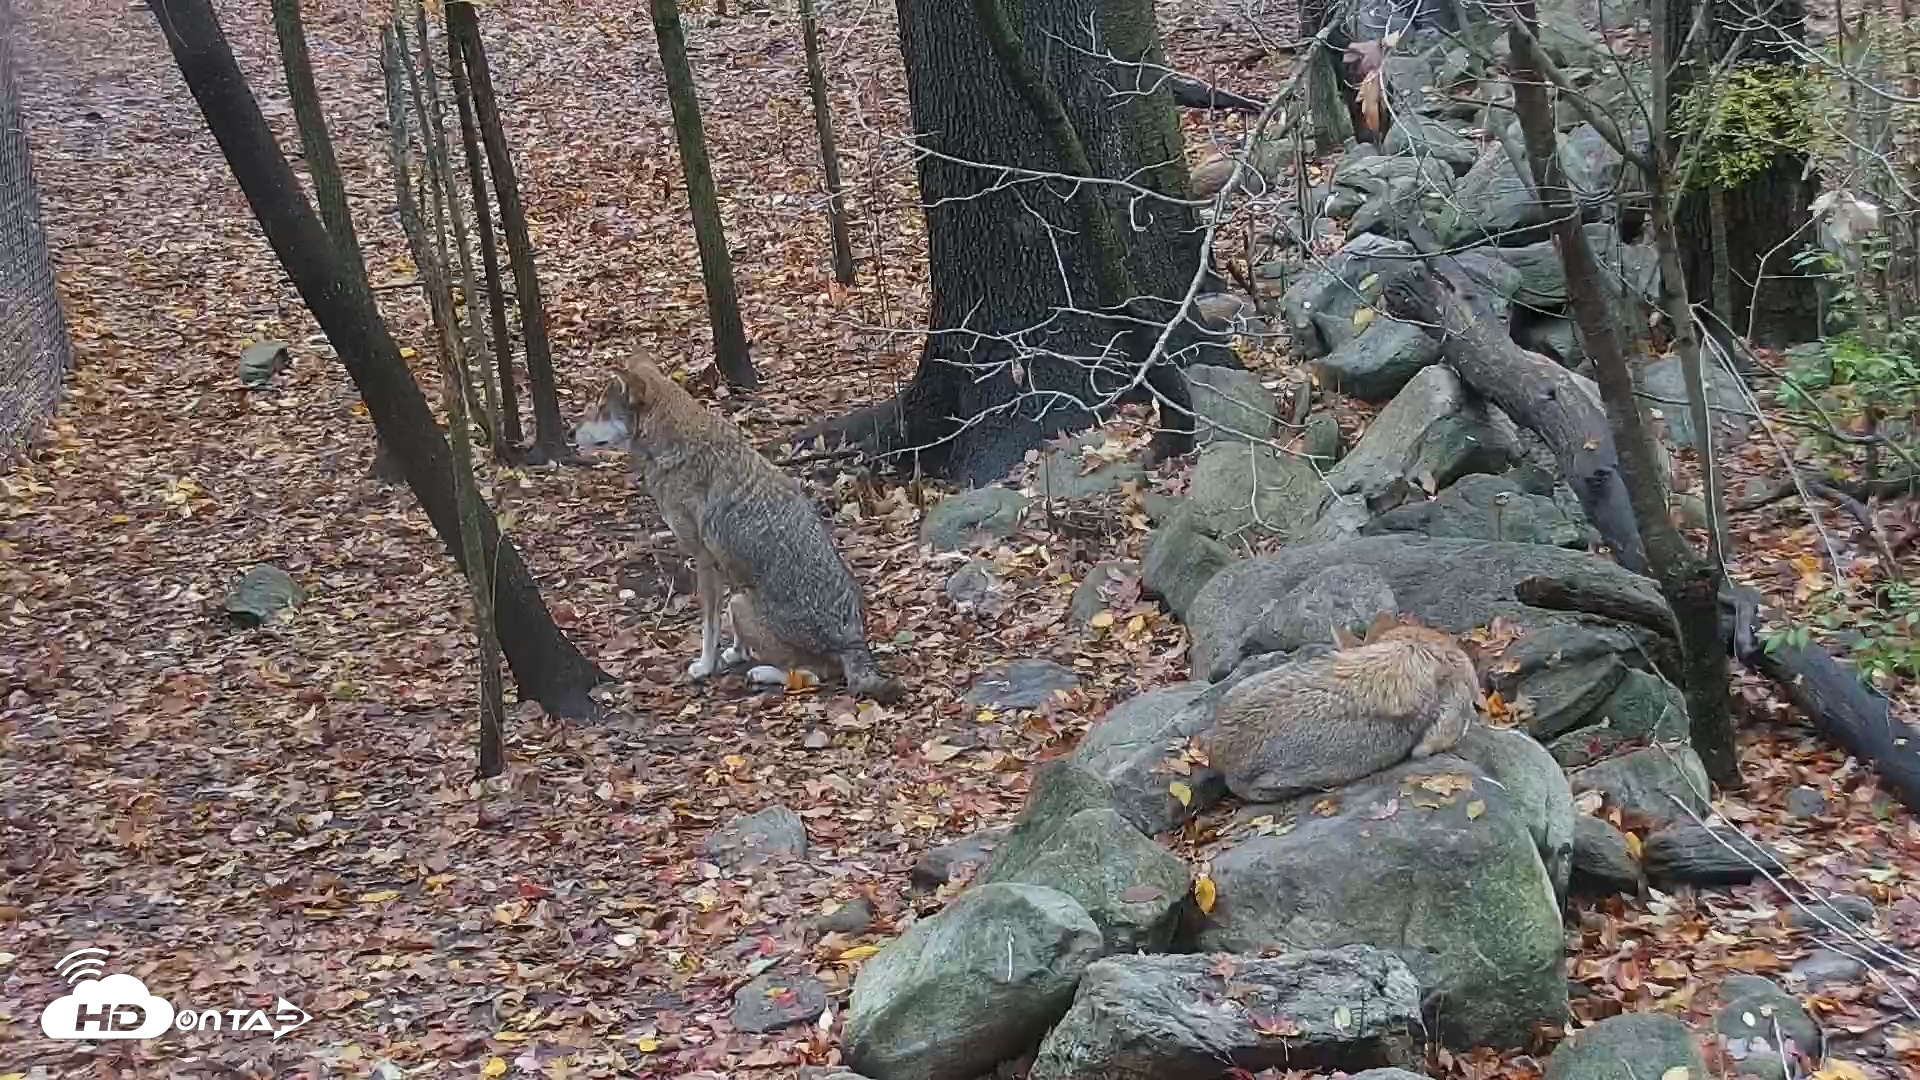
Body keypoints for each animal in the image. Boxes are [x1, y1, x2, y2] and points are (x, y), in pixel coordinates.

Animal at [573, 359, 903, 703]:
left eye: (601, 409)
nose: (570, 432)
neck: (672, 441)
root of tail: (852, 642)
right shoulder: (725, 565)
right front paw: (736, 652)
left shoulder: (703, 559)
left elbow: (710, 626)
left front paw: (706, 667)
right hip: (746, 598)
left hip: (743, 604)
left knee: (811, 675)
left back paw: (762, 672)